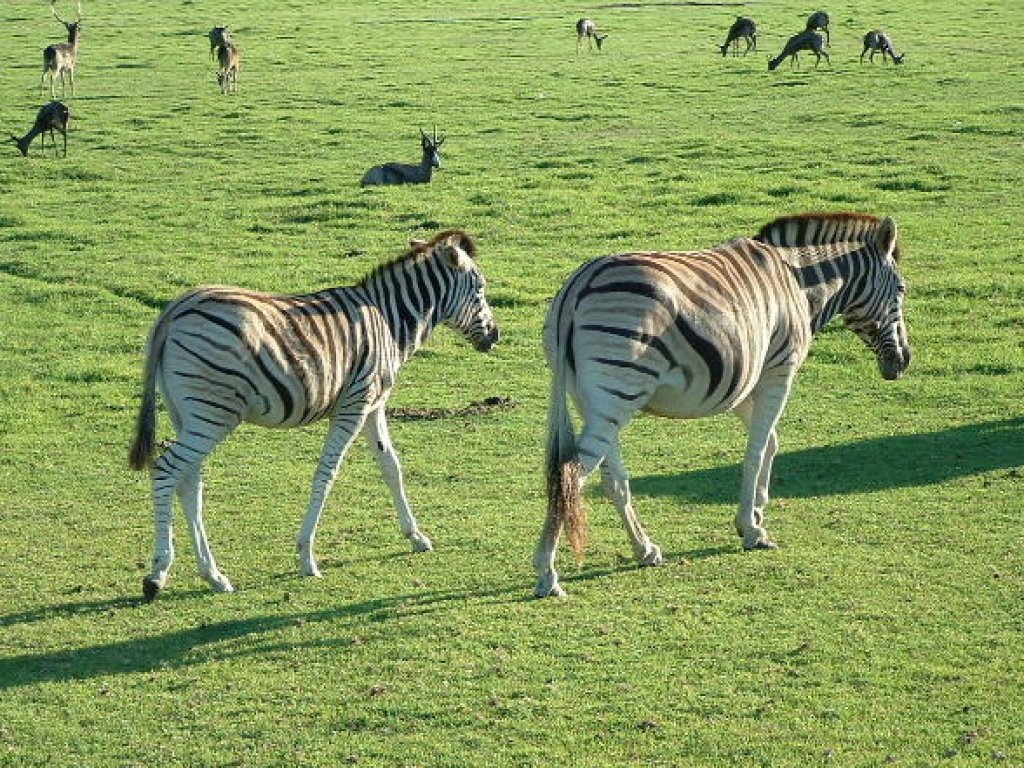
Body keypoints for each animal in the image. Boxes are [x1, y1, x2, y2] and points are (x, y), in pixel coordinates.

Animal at [128, 228, 499, 602]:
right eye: (480, 289)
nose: (496, 336)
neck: (389, 320)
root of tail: (175, 310)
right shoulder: (354, 405)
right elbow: (327, 473)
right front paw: (307, 556)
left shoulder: (374, 406)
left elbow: (391, 466)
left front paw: (416, 536)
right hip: (212, 415)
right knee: (166, 470)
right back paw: (157, 574)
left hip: (188, 414)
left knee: (189, 483)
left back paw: (214, 575)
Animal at [536, 214, 913, 598]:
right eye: (901, 290)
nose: (904, 361)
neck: (797, 281)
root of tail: (578, 286)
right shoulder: (779, 370)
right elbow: (756, 451)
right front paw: (753, 529)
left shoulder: (746, 384)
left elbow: (771, 442)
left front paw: (757, 512)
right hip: (618, 391)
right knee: (571, 475)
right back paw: (547, 573)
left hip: (595, 399)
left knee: (611, 479)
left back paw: (644, 549)